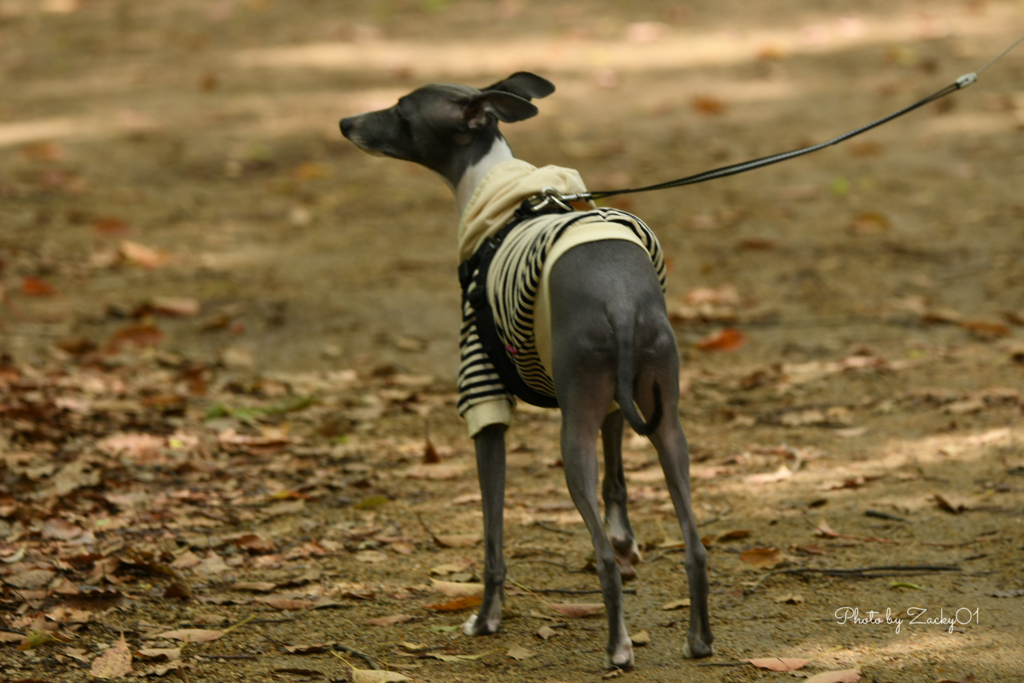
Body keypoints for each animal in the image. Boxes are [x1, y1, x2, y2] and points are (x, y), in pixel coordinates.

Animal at [344, 72, 712, 671]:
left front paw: (485, 617)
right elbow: (617, 479)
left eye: (400, 112)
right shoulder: (615, 405)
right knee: (695, 545)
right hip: (665, 421)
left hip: (574, 434)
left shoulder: (484, 393)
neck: (501, 188)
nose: (345, 122)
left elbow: (493, 535)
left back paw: (618, 647)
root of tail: (619, 301)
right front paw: (627, 540)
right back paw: (699, 639)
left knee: (600, 559)